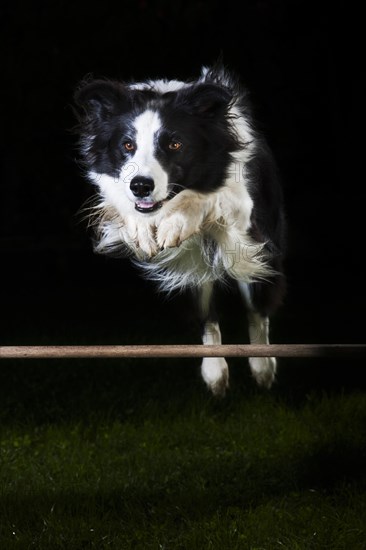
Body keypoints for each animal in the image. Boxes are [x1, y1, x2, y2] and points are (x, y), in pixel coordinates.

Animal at [74, 66, 286, 396]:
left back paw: (263, 368)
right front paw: (143, 229)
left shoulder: (245, 211)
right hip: (195, 264)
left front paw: (178, 221)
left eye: (175, 144)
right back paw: (215, 373)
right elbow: (124, 203)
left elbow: (213, 199)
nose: (141, 186)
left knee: (257, 303)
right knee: (207, 313)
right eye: (127, 145)